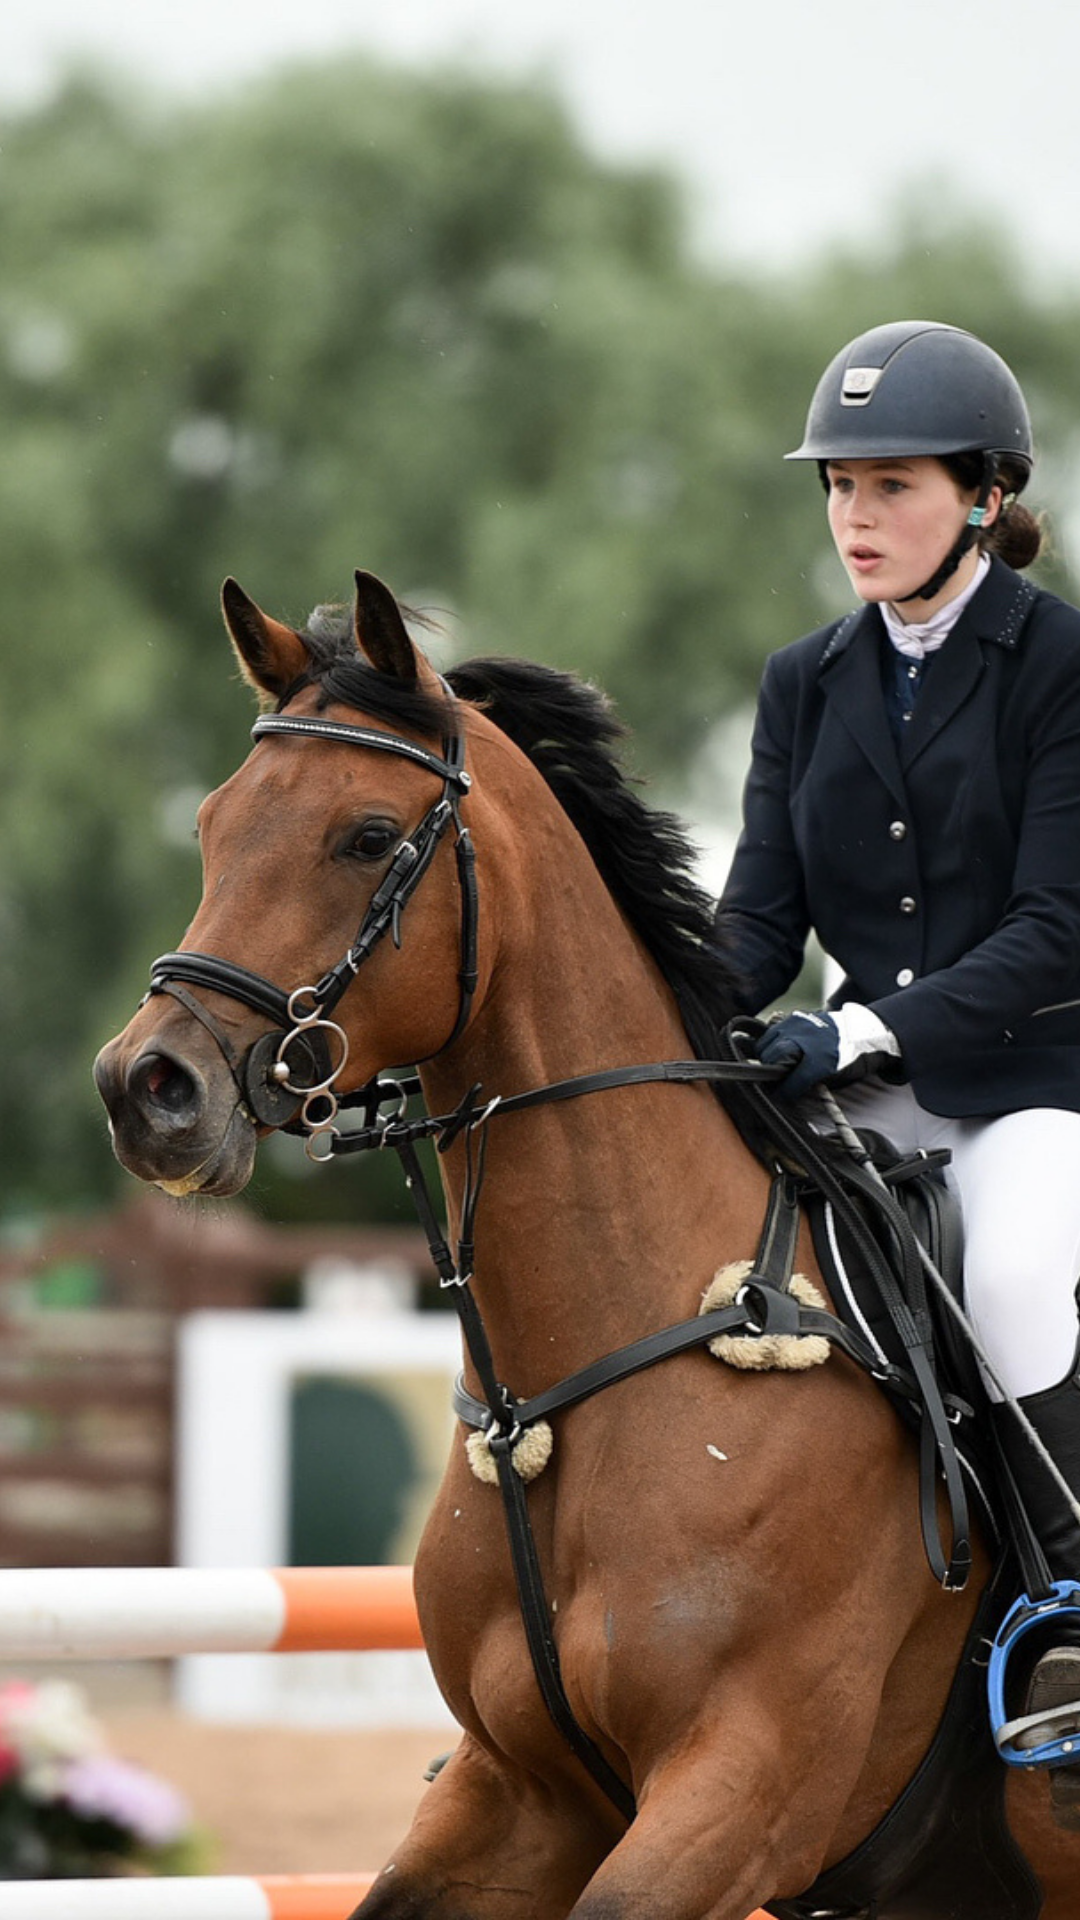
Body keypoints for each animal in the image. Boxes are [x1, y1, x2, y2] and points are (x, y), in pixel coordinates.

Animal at [94, 570, 1077, 1918]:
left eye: (364, 837)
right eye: (209, 824)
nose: (148, 1090)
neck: (573, 1384)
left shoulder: (744, 1786)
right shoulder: (519, 1793)